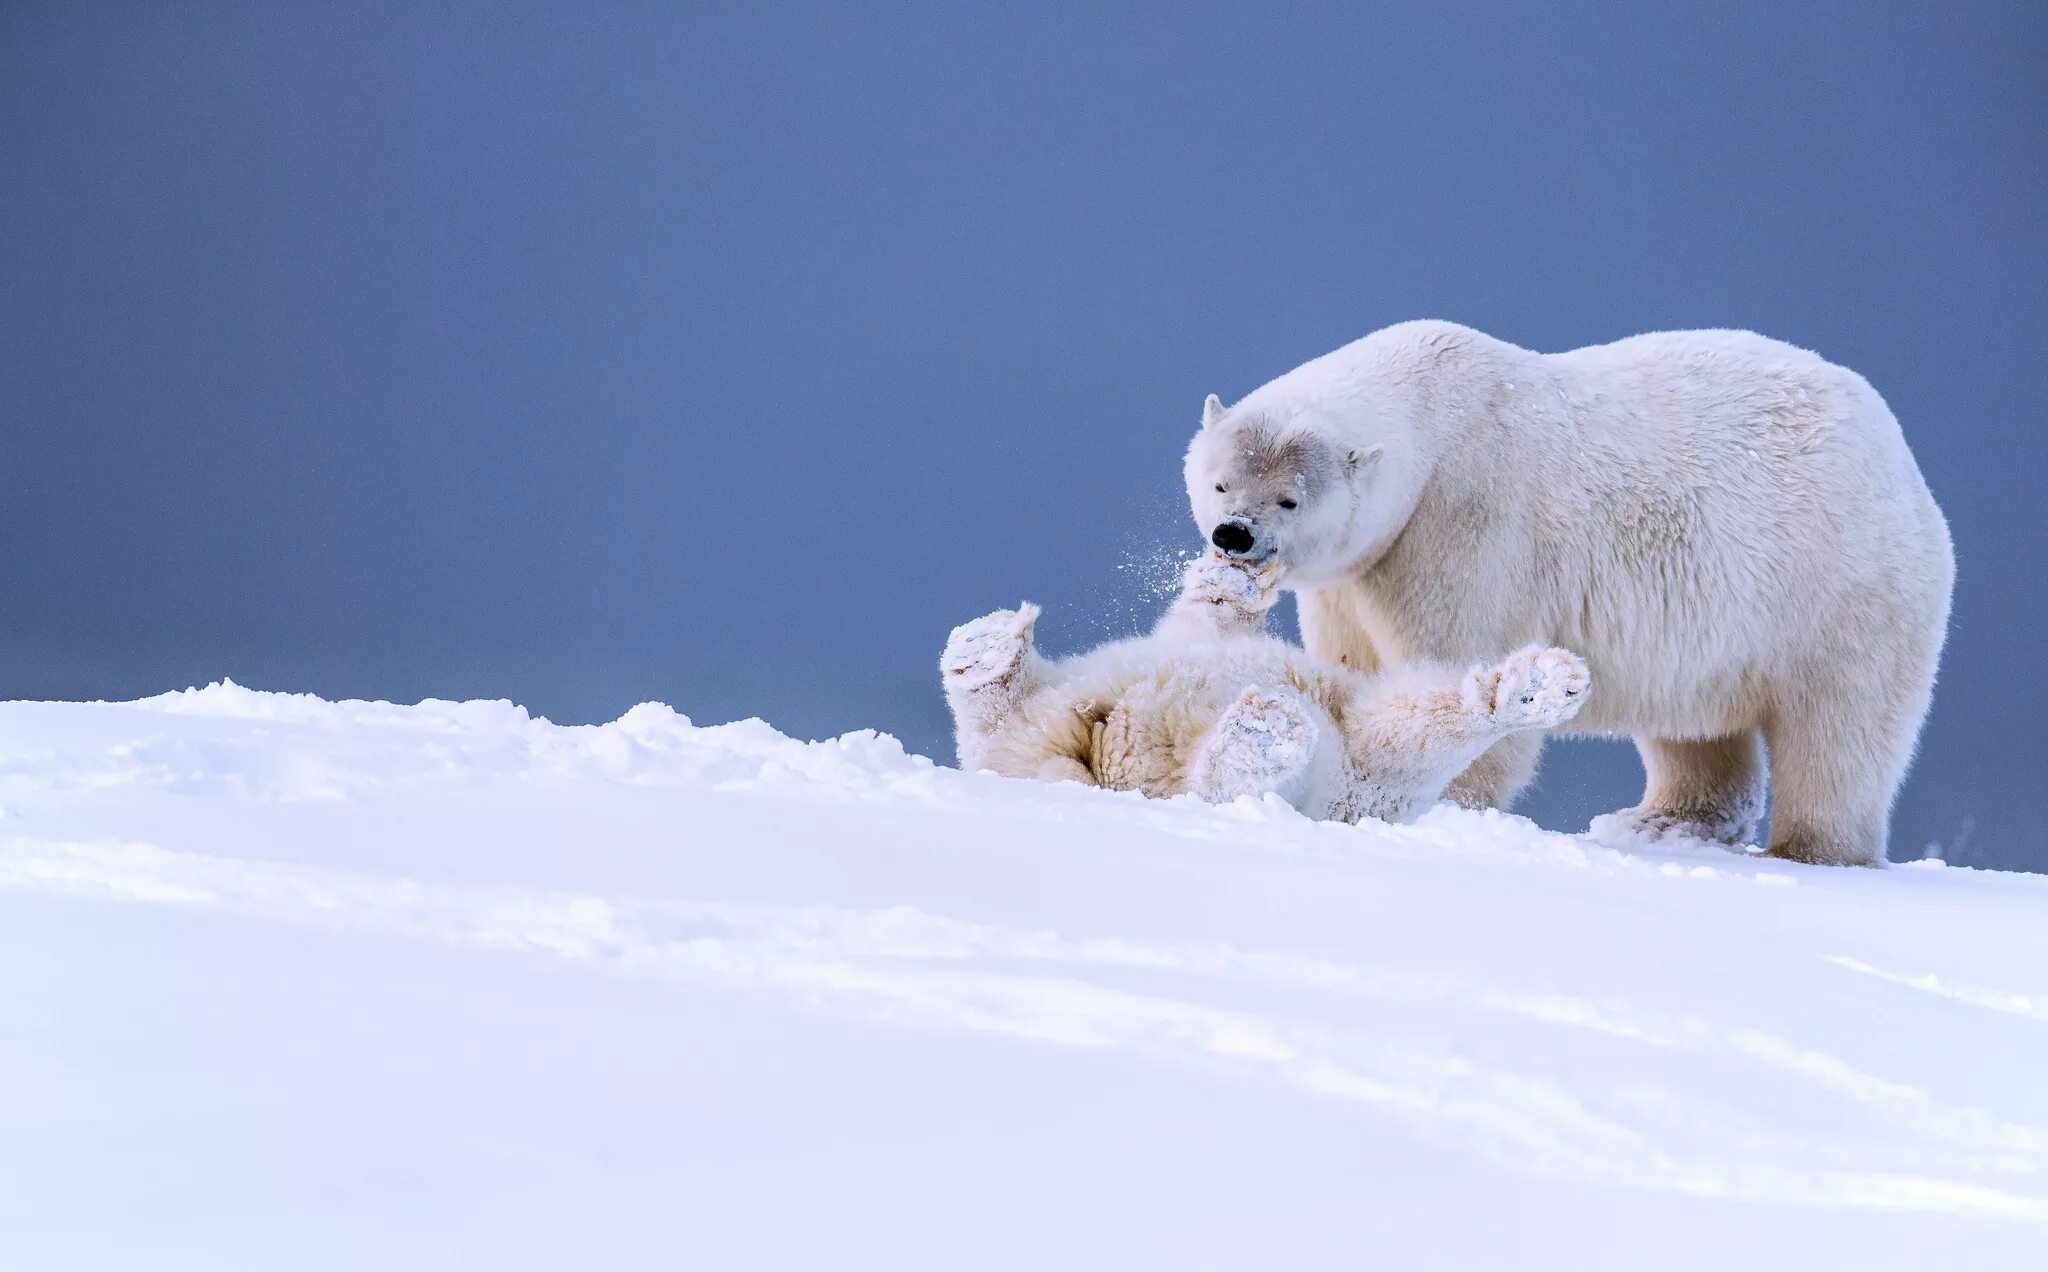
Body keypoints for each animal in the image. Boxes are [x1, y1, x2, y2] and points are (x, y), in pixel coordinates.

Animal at [937, 557, 1589, 823]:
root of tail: (1094, 761)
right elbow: (1207, 619)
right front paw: (1232, 579)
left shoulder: (1358, 769)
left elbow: (1391, 732)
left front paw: (1540, 683)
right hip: (1060, 708)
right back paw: (987, 649)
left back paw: (1260, 733)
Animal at [1187, 321, 1949, 868]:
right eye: (1220, 481)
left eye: (1289, 498)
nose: (1234, 535)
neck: (1432, 418)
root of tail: (1902, 458)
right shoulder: (1356, 573)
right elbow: (1353, 665)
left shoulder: (1466, 525)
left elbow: (1465, 659)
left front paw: (1446, 802)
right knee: (1694, 728)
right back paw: (1661, 822)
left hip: (1841, 586)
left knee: (1840, 728)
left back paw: (1812, 849)